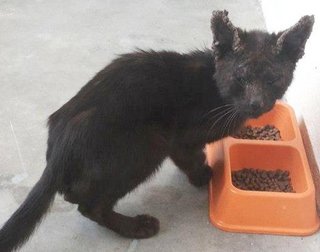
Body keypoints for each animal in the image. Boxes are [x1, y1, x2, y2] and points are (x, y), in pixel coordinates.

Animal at [0, 9, 316, 250]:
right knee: (89, 204)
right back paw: (135, 226)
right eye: (241, 78)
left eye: (273, 79)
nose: (256, 103)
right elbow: (192, 157)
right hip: (148, 143)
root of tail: (59, 147)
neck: (218, 94)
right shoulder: (179, 137)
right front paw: (203, 176)